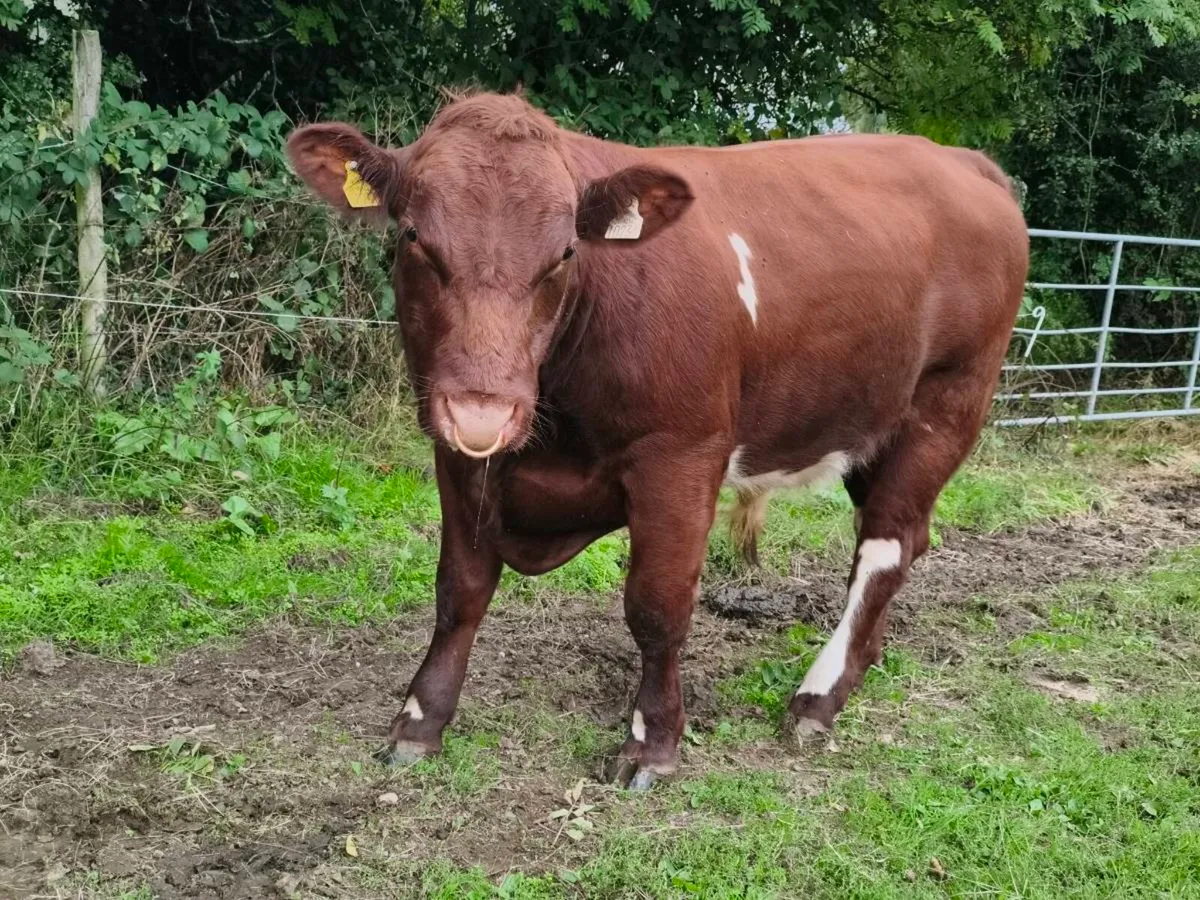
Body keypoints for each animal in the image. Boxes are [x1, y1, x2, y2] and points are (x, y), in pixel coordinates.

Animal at [286, 91, 1028, 790]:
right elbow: (459, 591)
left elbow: (656, 606)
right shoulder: (458, 456)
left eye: (565, 251)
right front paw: (419, 722)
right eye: (413, 235)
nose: (481, 411)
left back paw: (816, 699)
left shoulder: (681, 456)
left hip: (946, 403)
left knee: (884, 548)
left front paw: (653, 742)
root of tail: (961, 161)